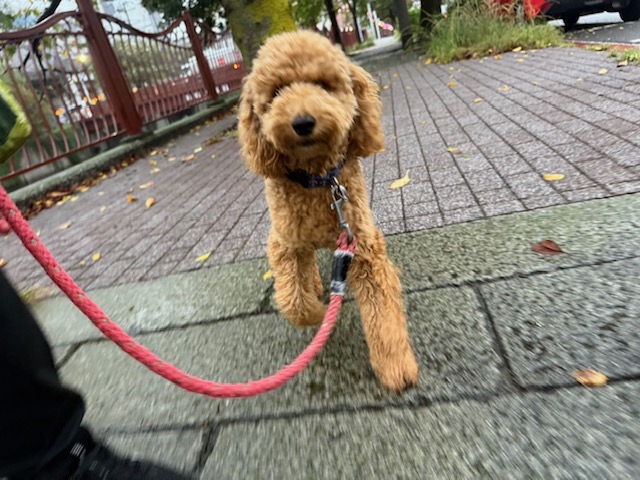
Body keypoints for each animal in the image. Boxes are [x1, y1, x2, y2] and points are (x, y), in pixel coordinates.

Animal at [236, 30, 420, 394]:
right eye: (276, 92)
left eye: (323, 85)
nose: (303, 122)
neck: (317, 180)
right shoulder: (285, 244)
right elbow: (293, 300)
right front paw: (318, 315)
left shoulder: (363, 247)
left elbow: (384, 315)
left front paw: (396, 367)